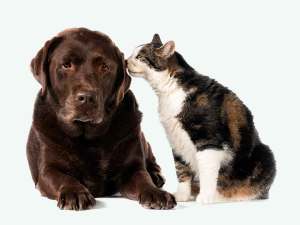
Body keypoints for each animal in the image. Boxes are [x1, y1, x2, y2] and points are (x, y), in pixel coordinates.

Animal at [125, 33, 276, 204]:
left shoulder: (208, 139)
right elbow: (181, 169)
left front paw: (205, 197)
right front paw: (182, 195)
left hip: (266, 156)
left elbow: (207, 172)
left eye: (140, 57)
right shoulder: (176, 140)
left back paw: (221, 196)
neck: (170, 89)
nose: (126, 61)